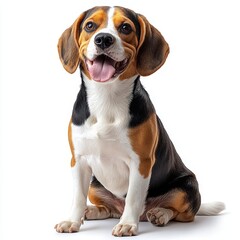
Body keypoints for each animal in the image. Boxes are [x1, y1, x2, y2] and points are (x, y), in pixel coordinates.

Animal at [54, 5, 225, 236]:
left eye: (126, 27)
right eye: (90, 25)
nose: (103, 39)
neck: (106, 98)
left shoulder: (141, 162)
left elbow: (134, 198)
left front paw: (127, 224)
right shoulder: (78, 160)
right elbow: (77, 198)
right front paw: (72, 220)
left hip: (186, 186)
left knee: (182, 213)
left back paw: (160, 213)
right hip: (95, 185)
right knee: (109, 208)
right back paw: (93, 211)